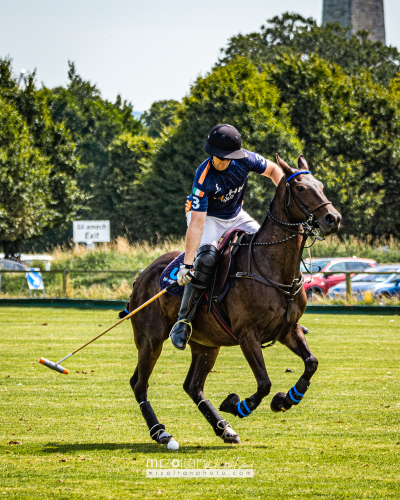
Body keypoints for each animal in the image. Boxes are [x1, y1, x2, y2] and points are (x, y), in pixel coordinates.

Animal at [129, 154, 340, 444]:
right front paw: (238, 405)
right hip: (150, 339)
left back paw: (224, 429)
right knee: (140, 384)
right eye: (299, 187)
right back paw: (161, 433)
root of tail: (141, 277)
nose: (333, 218)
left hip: (206, 344)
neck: (273, 269)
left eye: (319, 185)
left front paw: (286, 399)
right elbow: (264, 382)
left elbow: (311, 363)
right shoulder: (247, 334)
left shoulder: (289, 329)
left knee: (192, 386)